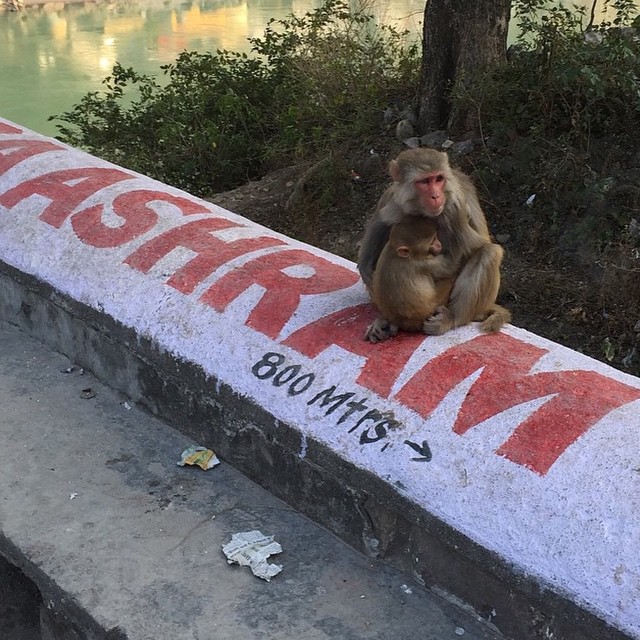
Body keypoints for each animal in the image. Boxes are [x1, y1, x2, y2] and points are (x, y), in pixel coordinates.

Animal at [364, 215, 456, 344]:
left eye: (436, 237)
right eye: (432, 242)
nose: (439, 244)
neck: (396, 252)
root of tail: (401, 322)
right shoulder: (424, 264)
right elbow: (451, 266)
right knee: (447, 279)